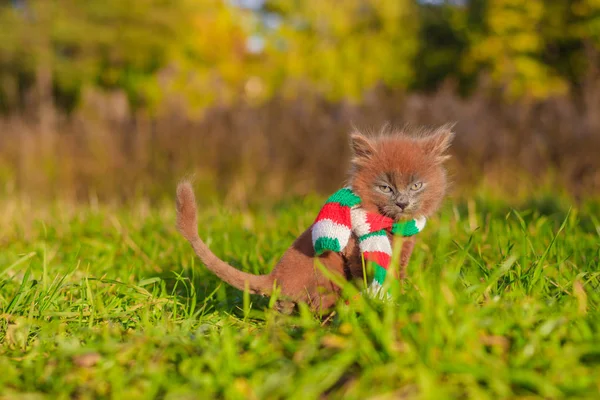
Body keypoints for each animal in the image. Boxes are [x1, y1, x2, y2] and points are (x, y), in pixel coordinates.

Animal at [176, 126, 452, 314]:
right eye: (385, 187)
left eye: (416, 185)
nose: (402, 202)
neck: (388, 225)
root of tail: (274, 278)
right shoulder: (353, 253)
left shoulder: (403, 252)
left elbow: (398, 275)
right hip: (325, 277)